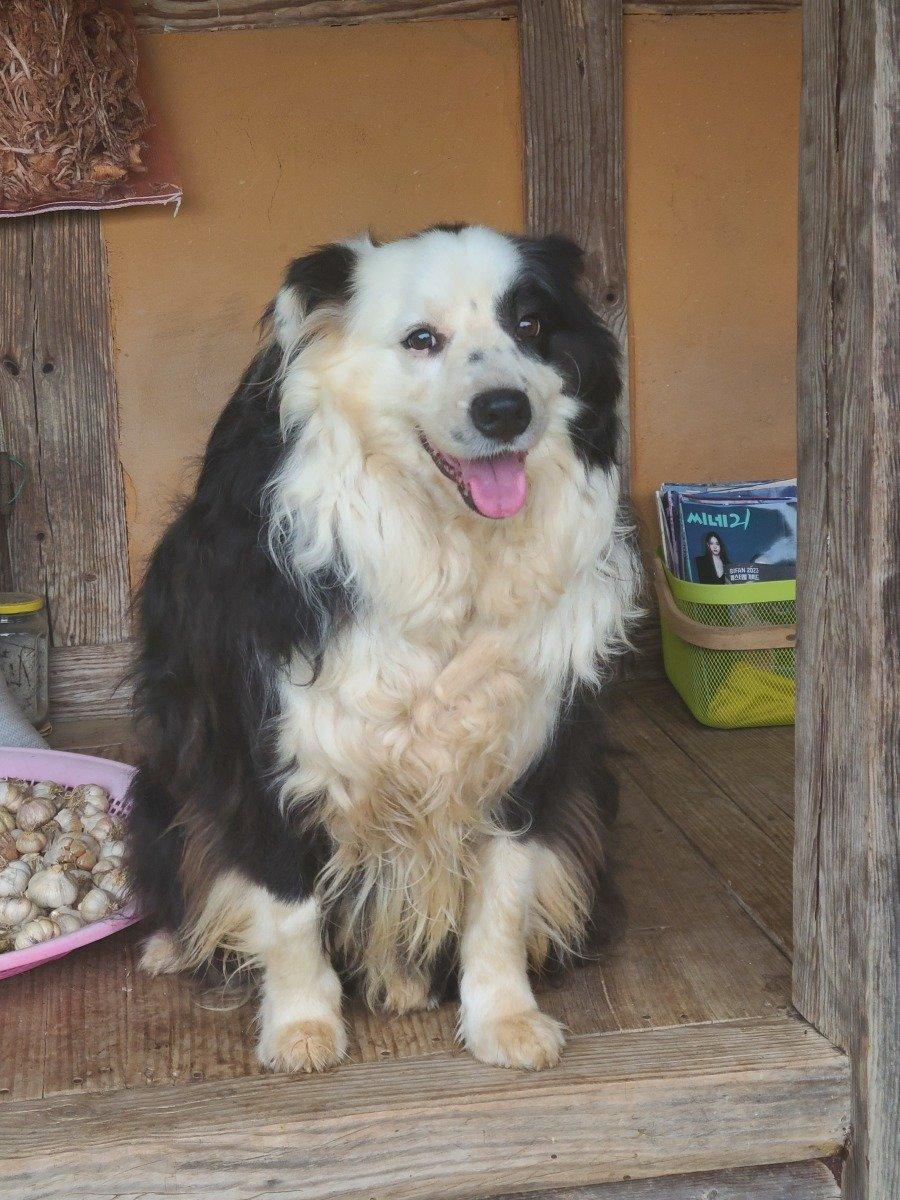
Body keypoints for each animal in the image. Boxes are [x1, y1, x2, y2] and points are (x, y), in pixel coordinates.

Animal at [125, 225, 643, 1070]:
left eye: (532, 324)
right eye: (421, 340)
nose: (505, 410)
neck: (443, 544)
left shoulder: (528, 737)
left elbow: (501, 893)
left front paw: (505, 1019)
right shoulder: (266, 739)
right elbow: (286, 898)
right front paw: (302, 1027)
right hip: (160, 784)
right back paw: (173, 944)